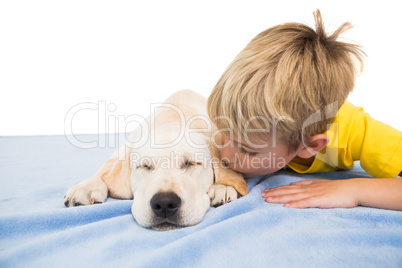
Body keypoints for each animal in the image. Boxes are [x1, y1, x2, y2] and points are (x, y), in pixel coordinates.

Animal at [64, 90, 247, 230]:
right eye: (145, 166)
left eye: (190, 163)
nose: (165, 204)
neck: (172, 119)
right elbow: (106, 167)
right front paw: (86, 187)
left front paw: (223, 186)